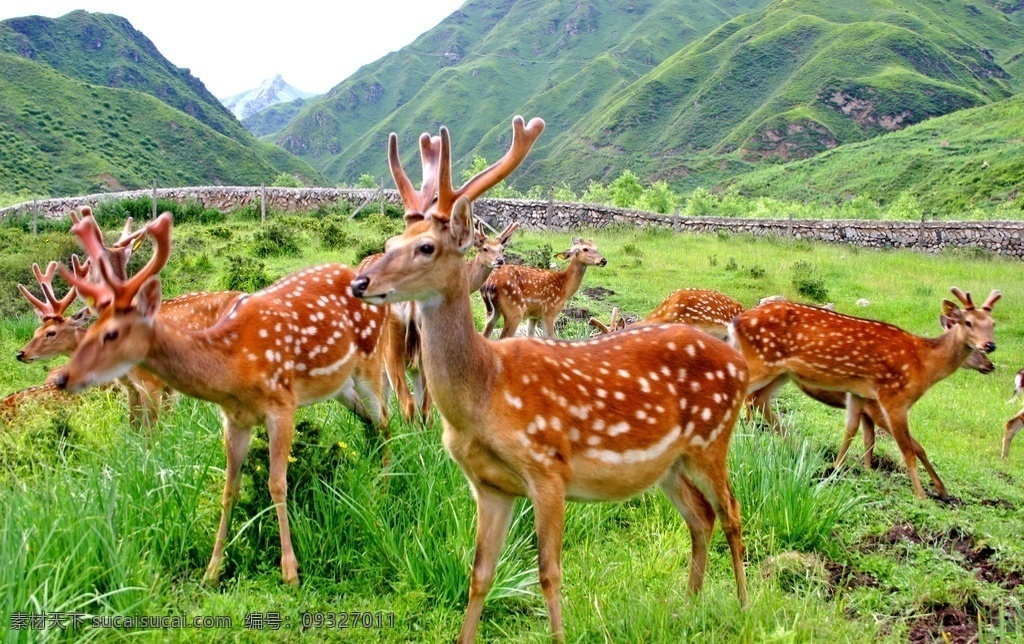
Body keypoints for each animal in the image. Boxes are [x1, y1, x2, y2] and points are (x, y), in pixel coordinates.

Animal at [58, 213, 389, 585]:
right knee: (371, 421)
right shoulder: (234, 419)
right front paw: (212, 570)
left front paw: (290, 571)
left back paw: (385, 486)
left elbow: (277, 483)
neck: (233, 371)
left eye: (112, 333)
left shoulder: (282, 403)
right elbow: (230, 489)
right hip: (340, 387)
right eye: (89, 328)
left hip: (370, 361)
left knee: (386, 418)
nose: (62, 378)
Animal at [354, 116, 753, 642]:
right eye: (388, 244)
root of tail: (741, 365)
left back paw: (746, 606)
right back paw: (687, 608)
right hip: (670, 463)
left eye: (426, 246)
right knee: (701, 517)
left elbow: (549, 572)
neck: (484, 393)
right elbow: (479, 575)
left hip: (713, 439)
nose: (360, 282)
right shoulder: (489, 485)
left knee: (732, 513)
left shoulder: (548, 469)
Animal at [733, 288, 1003, 499]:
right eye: (968, 322)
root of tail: (737, 321)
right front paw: (923, 495)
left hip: (781, 372)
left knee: (760, 400)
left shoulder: (860, 394)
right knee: (745, 395)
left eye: (992, 324)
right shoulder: (891, 398)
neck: (923, 365)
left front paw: (836, 470)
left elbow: (855, 432)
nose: (990, 349)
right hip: (762, 362)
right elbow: (910, 449)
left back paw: (796, 447)